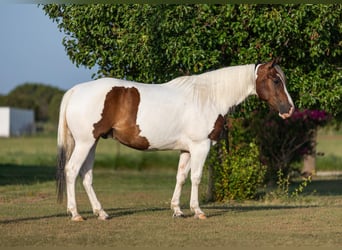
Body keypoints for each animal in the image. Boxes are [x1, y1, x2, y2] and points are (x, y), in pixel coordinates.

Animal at [55, 58, 294, 221]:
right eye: (275, 80)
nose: (289, 109)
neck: (208, 97)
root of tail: (75, 91)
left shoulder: (187, 150)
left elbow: (181, 177)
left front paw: (177, 210)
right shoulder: (201, 147)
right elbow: (196, 177)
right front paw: (198, 211)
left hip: (92, 143)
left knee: (86, 176)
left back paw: (101, 212)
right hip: (85, 143)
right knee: (72, 171)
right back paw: (75, 213)